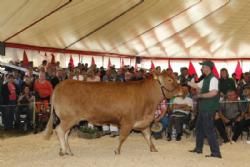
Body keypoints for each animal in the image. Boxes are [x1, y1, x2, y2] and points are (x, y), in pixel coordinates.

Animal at [44, 72, 180, 156]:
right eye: (169, 79)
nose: (182, 89)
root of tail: (61, 84)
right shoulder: (127, 121)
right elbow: (122, 137)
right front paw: (117, 150)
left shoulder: (144, 121)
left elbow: (148, 136)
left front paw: (153, 148)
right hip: (69, 118)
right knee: (59, 130)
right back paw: (64, 151)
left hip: (69, 119)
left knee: (65, 133)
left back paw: (68, 151)